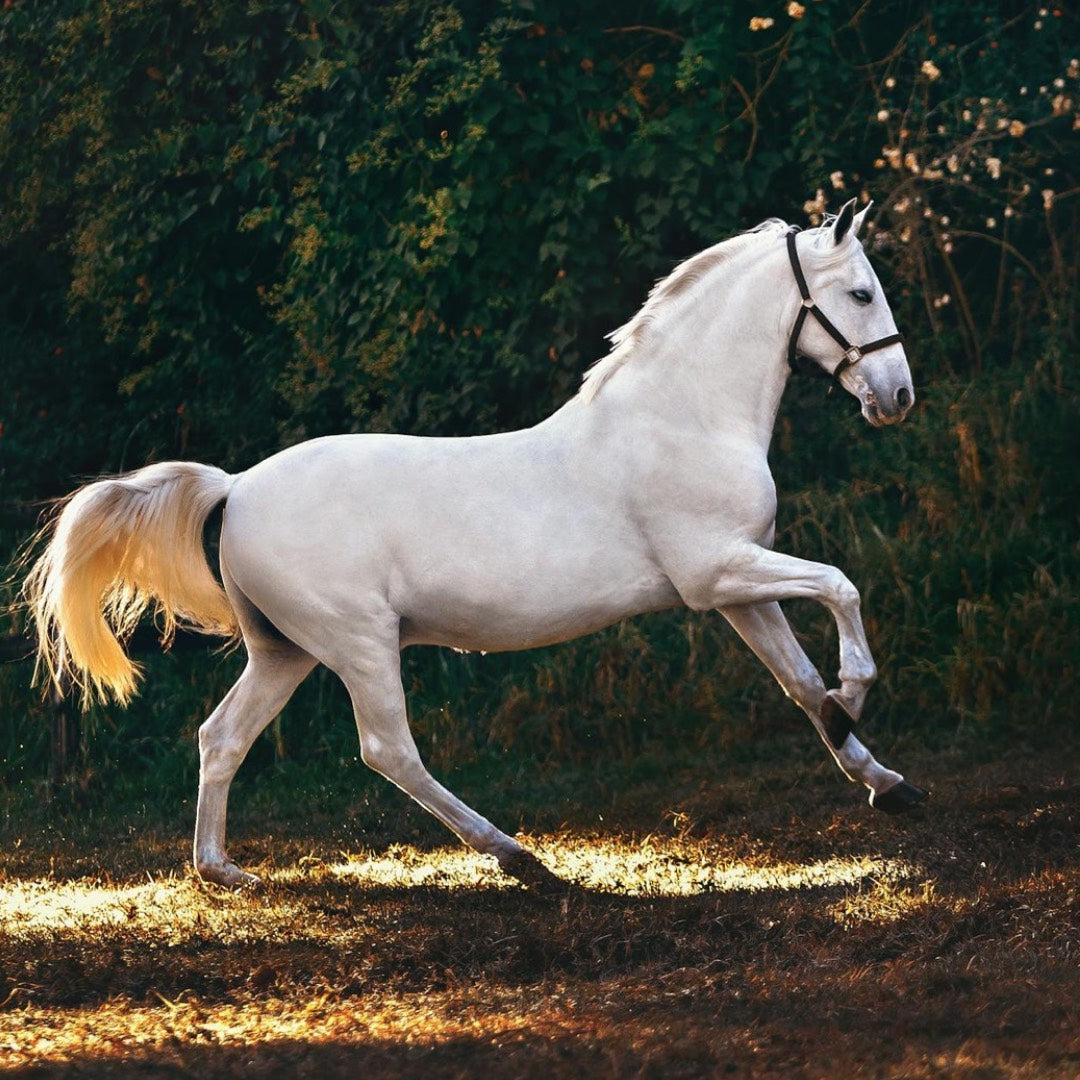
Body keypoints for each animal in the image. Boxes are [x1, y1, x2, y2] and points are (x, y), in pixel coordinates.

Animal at [23, 198, 926, 891]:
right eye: (860, 292)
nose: (897, 398)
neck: (684, 417)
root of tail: (237, 487)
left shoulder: (740, 589)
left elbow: (800, 683)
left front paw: (883, 779)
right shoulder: (718, 575)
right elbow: (840, 588)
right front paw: (856, 693)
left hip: (285, 650)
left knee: (222, 736)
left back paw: (222, 871)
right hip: (357, 642)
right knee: (388, 749)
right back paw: (518, 857)